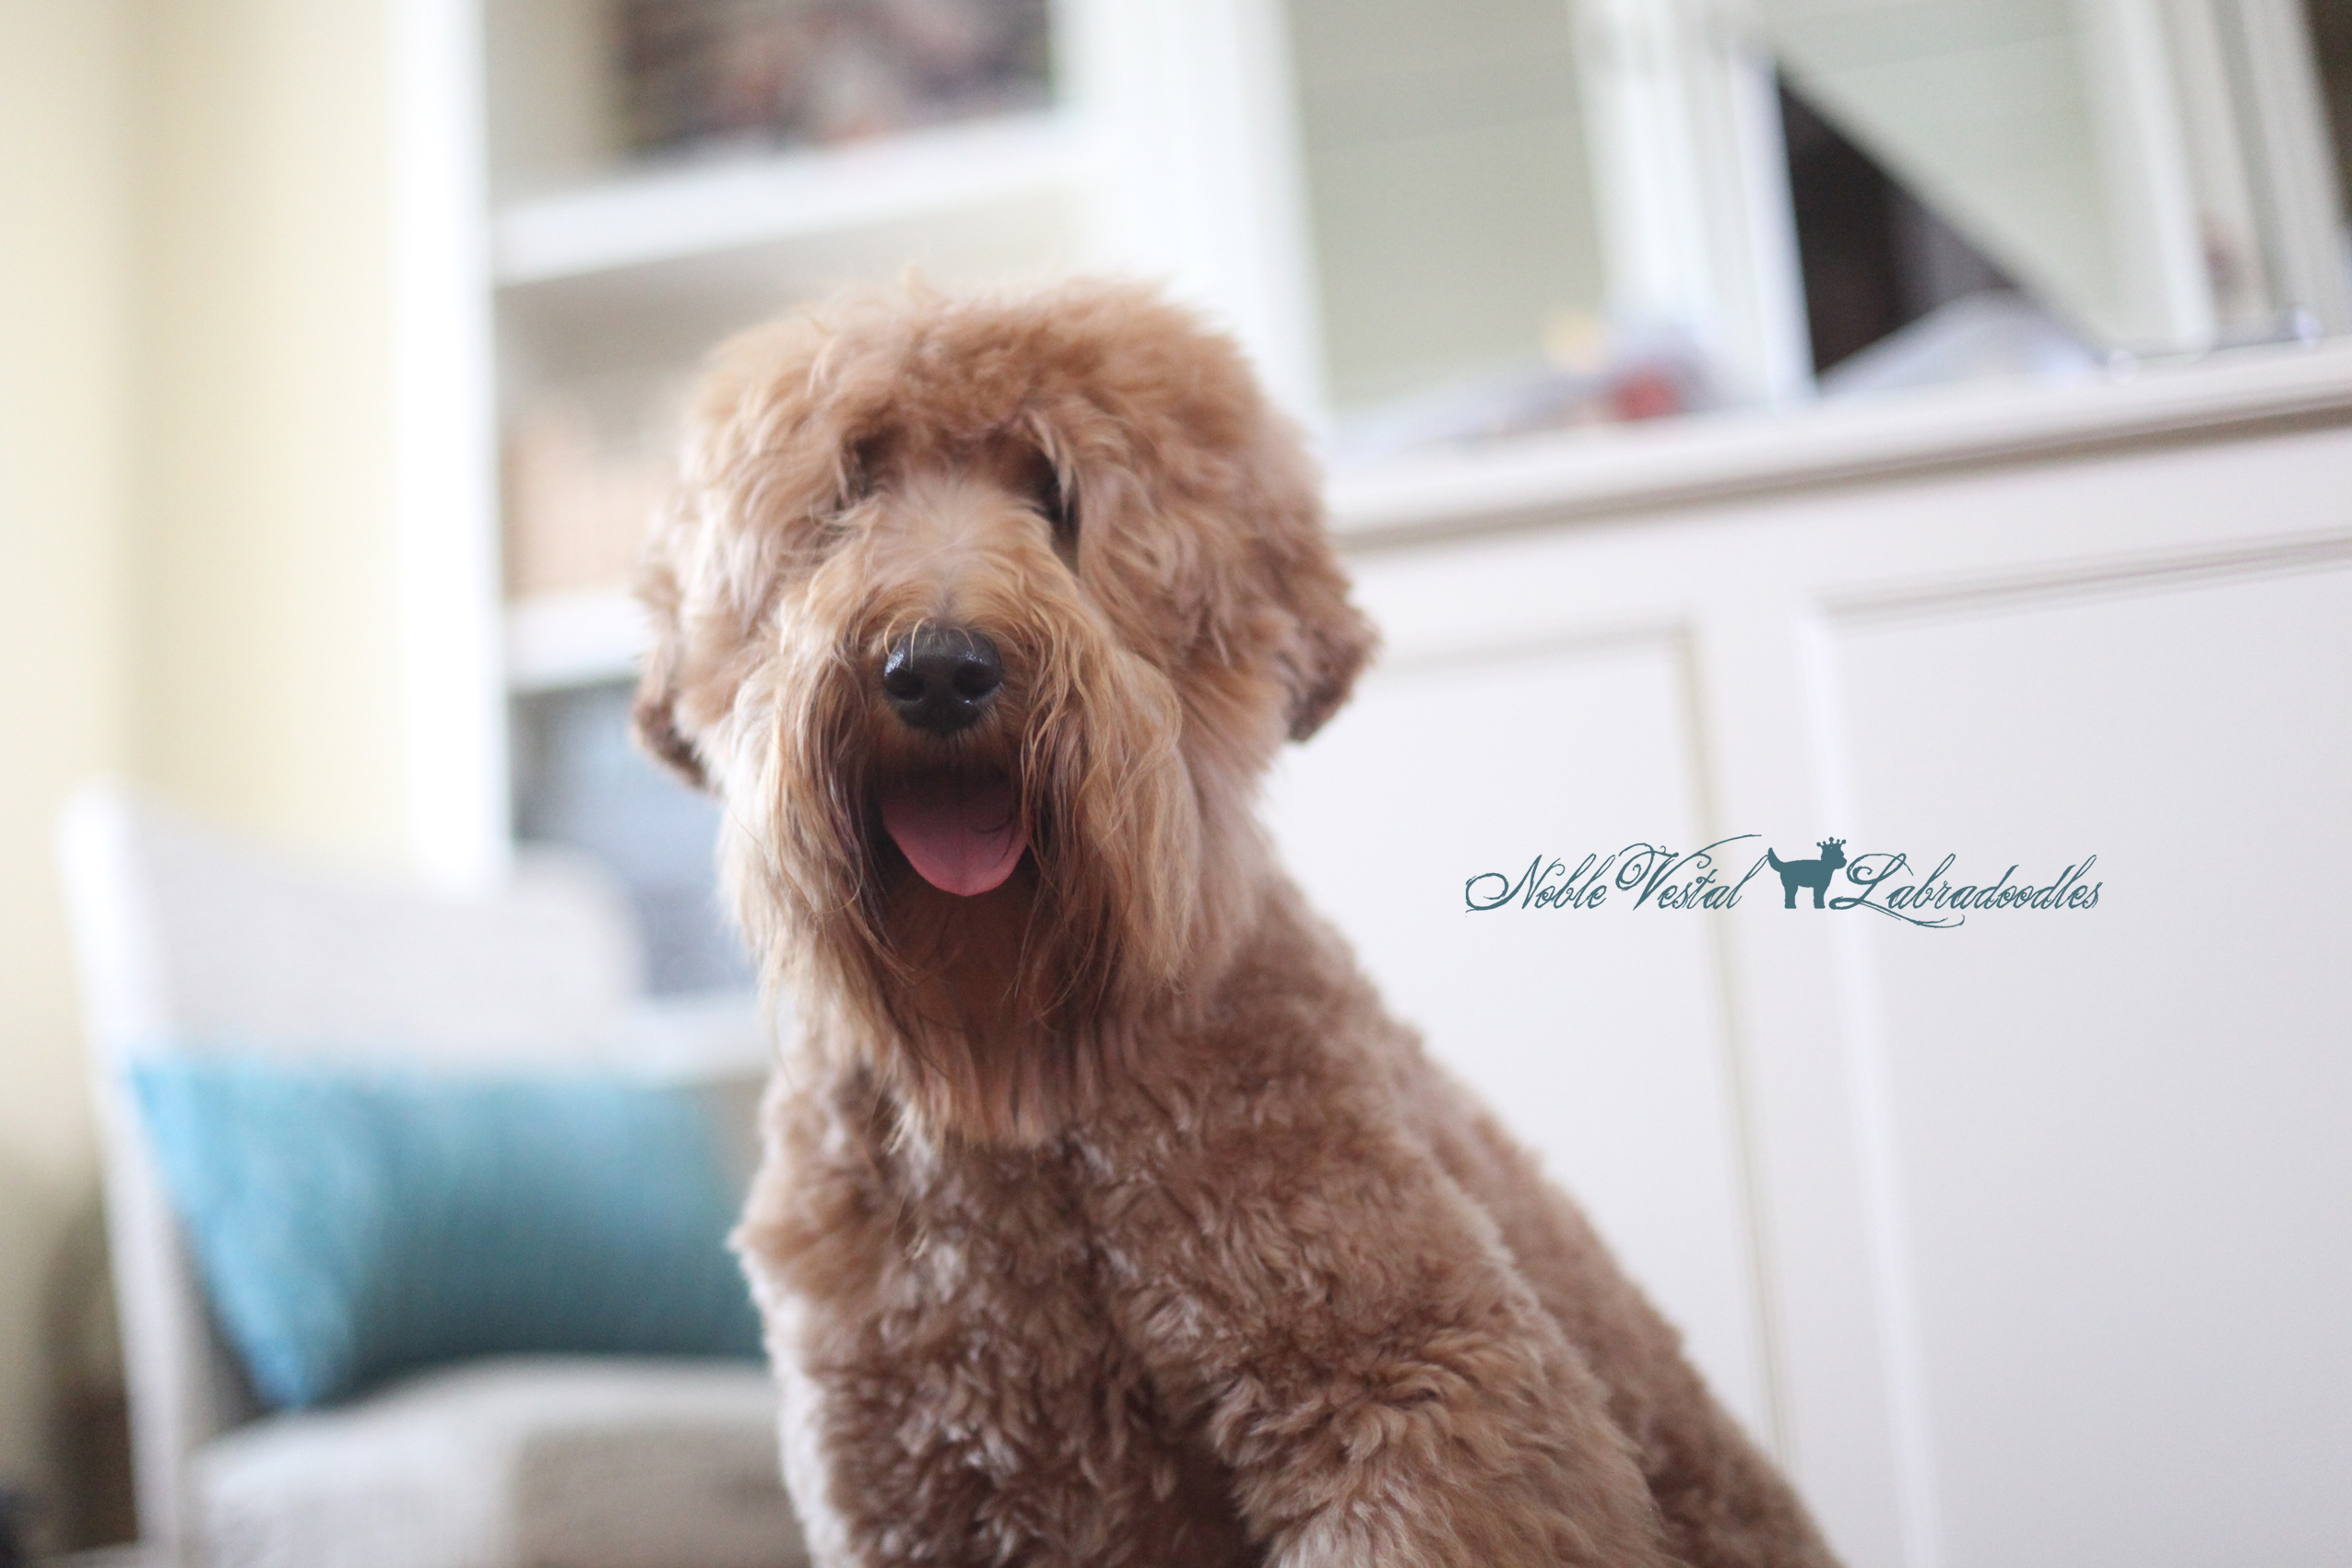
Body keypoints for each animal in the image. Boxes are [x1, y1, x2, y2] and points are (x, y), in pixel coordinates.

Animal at [632, 281, 1840, 1568]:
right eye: (849, 489)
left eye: (1055, 493)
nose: (939, 667)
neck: (1015, 1074)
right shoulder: (904, 1497)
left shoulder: (1419, 1388)